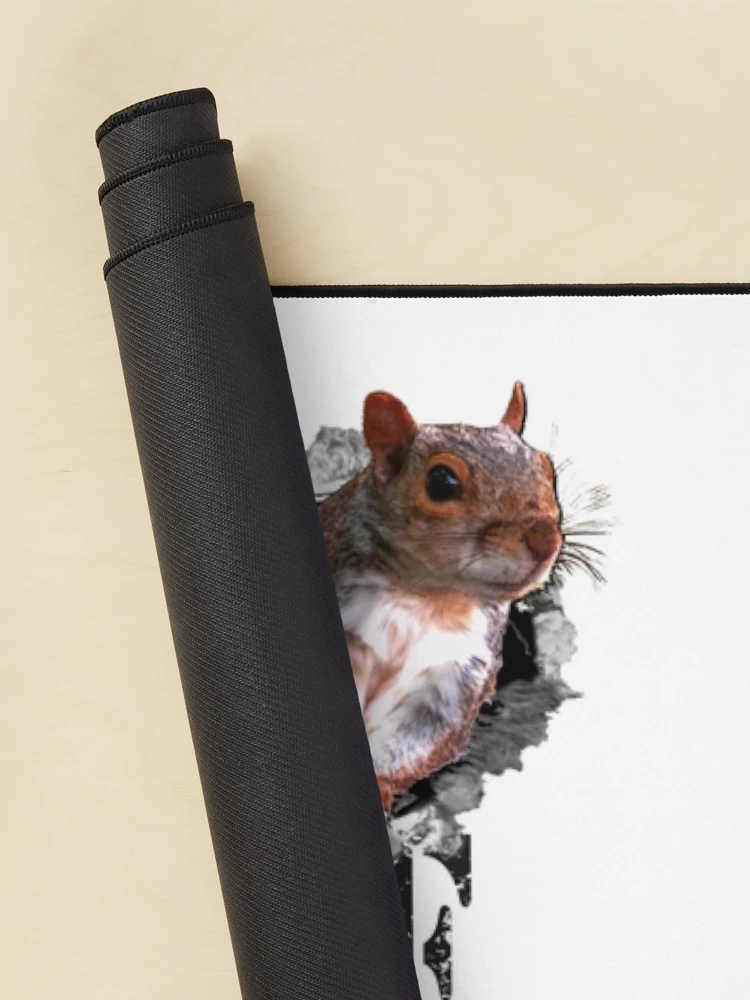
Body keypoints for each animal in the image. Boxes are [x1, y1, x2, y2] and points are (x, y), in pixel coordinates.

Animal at [318, 383, 562, 810]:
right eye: (441, 482)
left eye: (546, 468)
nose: (546, 539)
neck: (428, 599)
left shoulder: (452, 676)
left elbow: (420, 740)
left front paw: (380, 786)